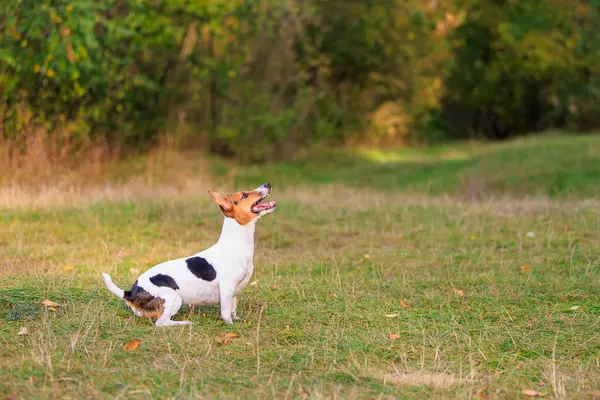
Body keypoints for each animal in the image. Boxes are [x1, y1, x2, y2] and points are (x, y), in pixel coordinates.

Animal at [101, 183, 276, 326]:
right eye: (244, 195)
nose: (268, 184)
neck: (236, 243)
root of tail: (130, 293)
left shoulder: (234, 292)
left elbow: (233, 309)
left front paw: (237, 320)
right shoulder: (227, 288)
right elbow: (226, 312)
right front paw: (230, 325)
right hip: (174, 299)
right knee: (161, 323)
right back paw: (184, 323)